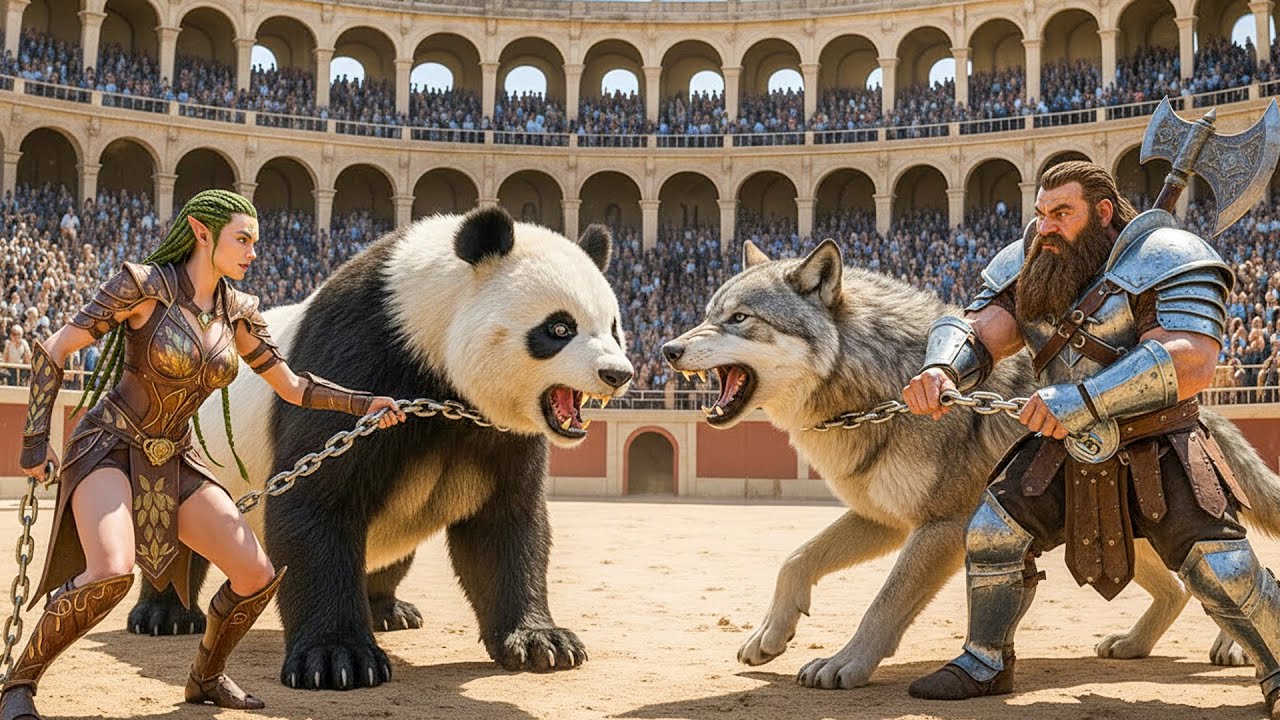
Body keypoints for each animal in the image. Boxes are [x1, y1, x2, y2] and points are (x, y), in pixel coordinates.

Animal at [125, 206, 633, 690]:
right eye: (559, 328)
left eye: (613, 327)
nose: (618, 374)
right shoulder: (362, 353)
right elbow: (318, 502)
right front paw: (337, 659)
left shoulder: (498, 432)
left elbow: (505, 523)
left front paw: (540, 642)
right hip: (187, 460)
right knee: (174, 535)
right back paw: (165, 616)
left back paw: (388, 610)